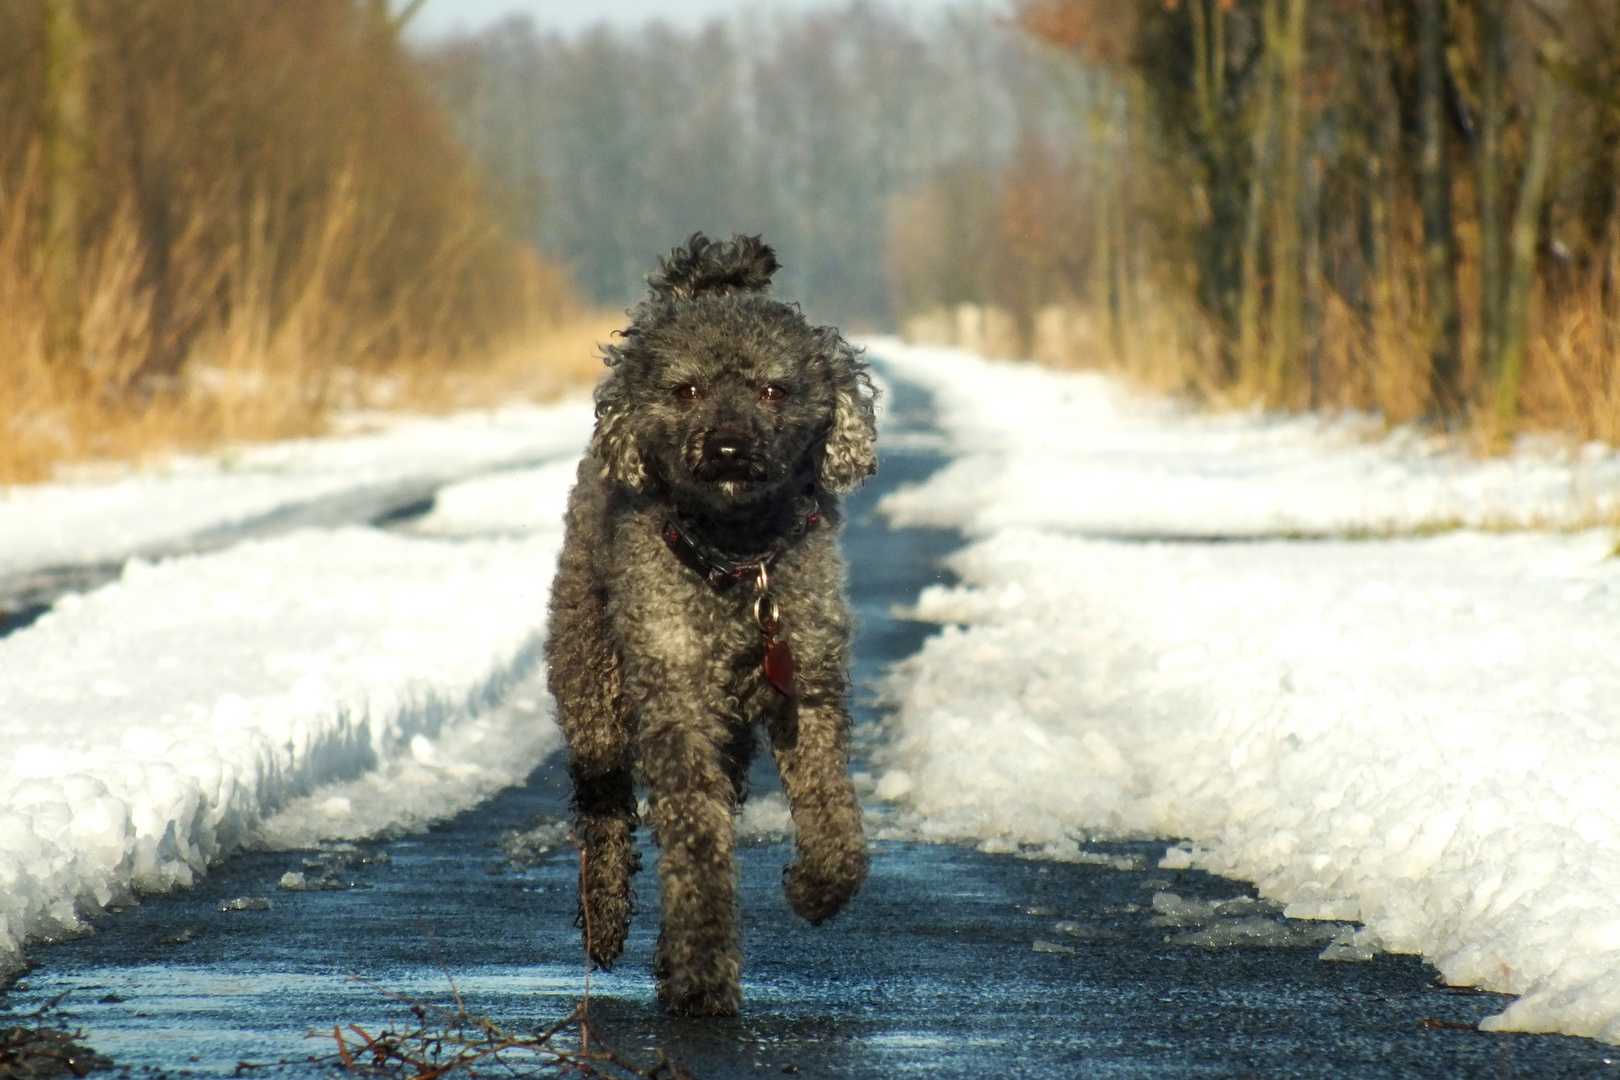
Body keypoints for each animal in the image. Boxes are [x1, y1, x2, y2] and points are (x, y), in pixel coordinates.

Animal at [544, 233, 874, 1016]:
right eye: (686, 391)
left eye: (773, 390)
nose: (726, 446)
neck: (738, 558)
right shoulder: (678, 702)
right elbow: (695, 847)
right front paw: (701, 975)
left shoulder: (809, 692)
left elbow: (833, 816)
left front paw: (818, 888)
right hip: (593, 686)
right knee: (602, 802)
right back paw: (605, 918)